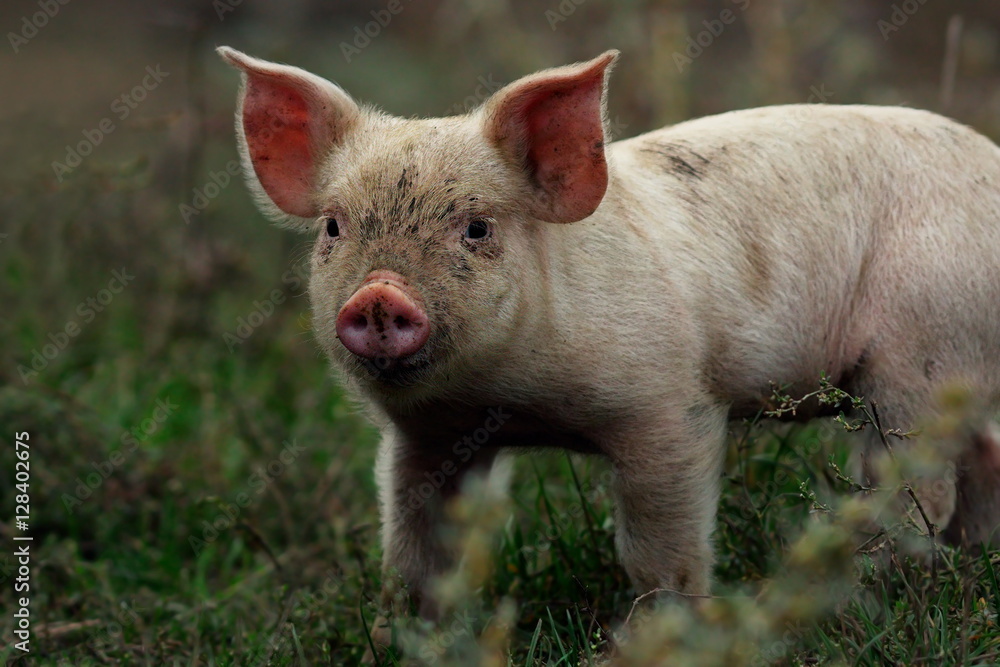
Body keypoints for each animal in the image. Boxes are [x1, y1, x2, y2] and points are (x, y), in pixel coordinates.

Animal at [219, 45, 1000, 620]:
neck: (512, 403)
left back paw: (849, 594)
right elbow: (414, 547)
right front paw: (407, 631)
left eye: (477, 227)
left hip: (920, 349)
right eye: (333, 227)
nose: (379, 295)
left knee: (914, 491)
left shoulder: (669, 409)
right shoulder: (428, 436)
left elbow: (658, 548)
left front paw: (657, 631)